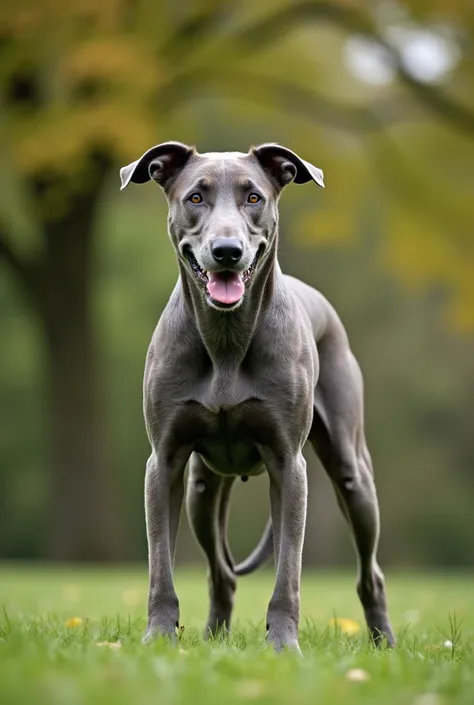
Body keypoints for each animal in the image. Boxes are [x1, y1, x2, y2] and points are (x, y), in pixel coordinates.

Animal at [120, 140, 394, 652]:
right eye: (195, 197)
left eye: (254, 197)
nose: (227, 251)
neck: (225, 337)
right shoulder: (163, 462)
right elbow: (160, 569)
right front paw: (158, 638)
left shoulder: (288, 465)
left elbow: (288, 573)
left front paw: (283, 645)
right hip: (202, 489)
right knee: (221, 575)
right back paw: (213, 637)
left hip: (354, 475)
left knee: (372, 574)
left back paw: (384, 643)